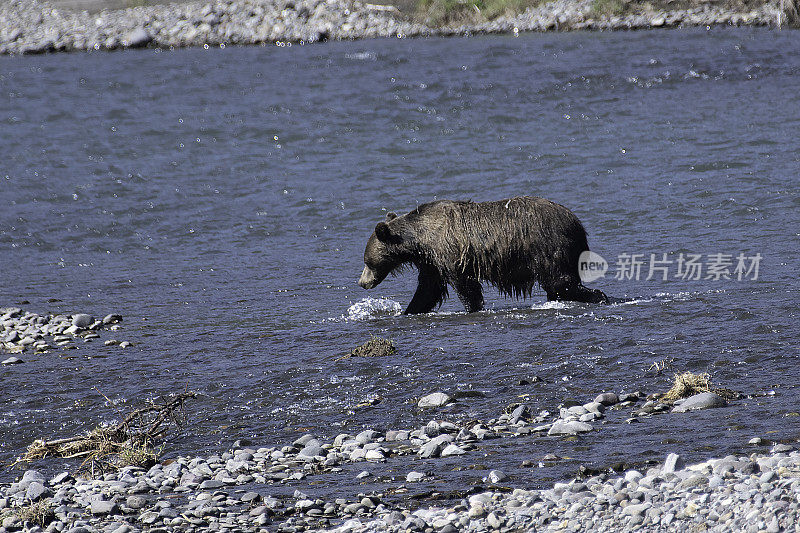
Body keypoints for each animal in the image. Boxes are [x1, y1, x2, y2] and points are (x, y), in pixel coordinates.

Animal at [356, 195, 608, 312]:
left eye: (367, 261)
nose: (362, 282)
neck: (420, 239)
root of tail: (577, 223)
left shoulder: (450, 252)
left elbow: (465, 286)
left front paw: (473, 307)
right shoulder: (431, 262)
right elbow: (428, 289)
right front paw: (409, 310)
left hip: (549, 247)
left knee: (560, 281)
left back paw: (598, 295)